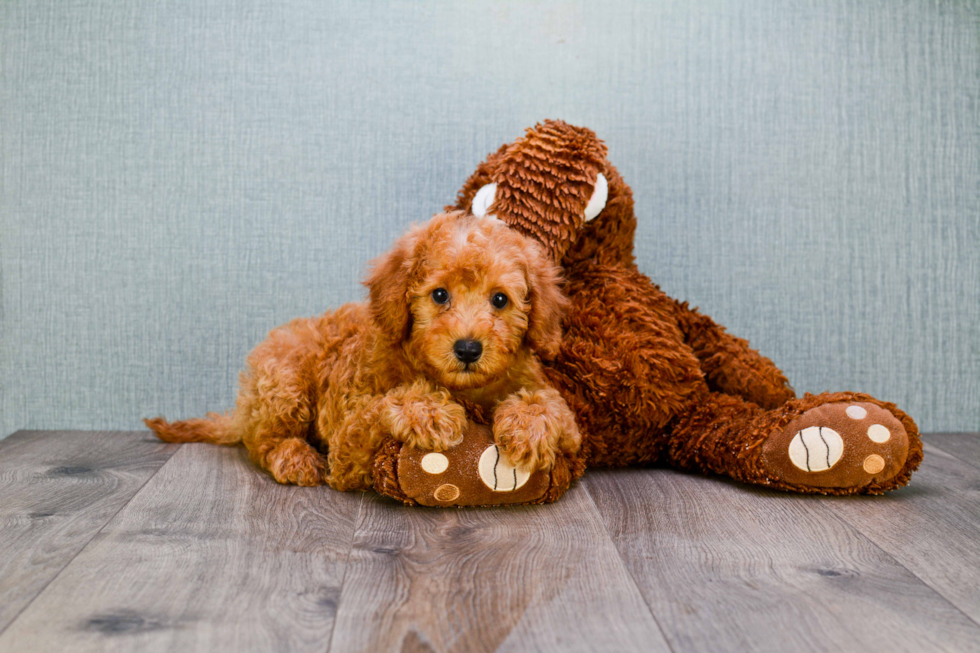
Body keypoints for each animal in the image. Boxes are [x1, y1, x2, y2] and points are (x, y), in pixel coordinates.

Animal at [142, 211, 580, 486]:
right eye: (440, 295)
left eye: (501, 300)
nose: (469, 349)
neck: (462, 387)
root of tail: (242, 409)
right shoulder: (348, 444)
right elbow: (381, 405)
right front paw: (428, 410)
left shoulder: (561, 413)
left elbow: (551, 406)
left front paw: (528, 426)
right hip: (284, 380)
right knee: (262, 442)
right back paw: (295, 457)